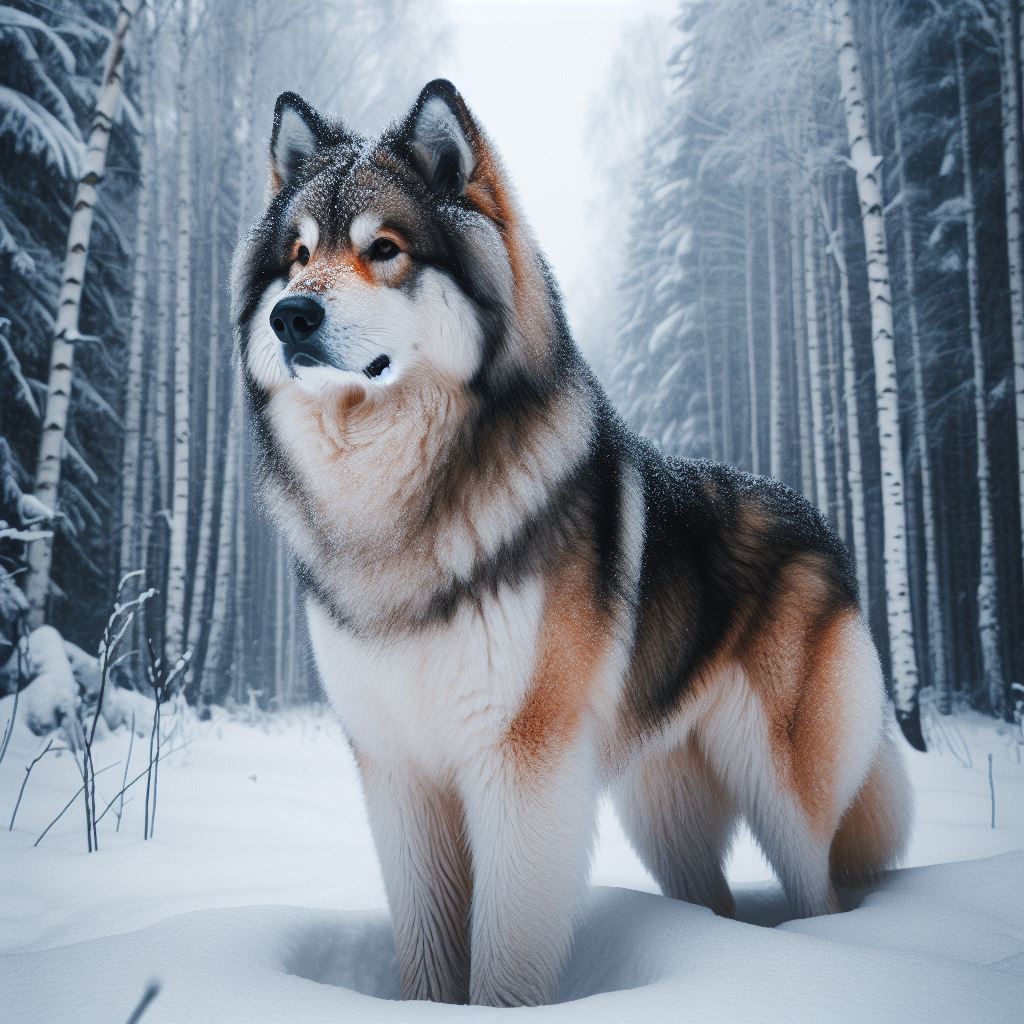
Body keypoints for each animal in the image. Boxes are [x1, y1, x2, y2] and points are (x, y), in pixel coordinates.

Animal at [232, 80, 914, 1007]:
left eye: (385, 249)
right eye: (299, 255)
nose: (290, 314)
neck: (394, 511)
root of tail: (820, 528)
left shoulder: (521, 764)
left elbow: (504, 953)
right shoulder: (397, 772)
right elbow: (428, 948)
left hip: (785, 798)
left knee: (822, 892)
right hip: (660, 811)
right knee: (714, 900)